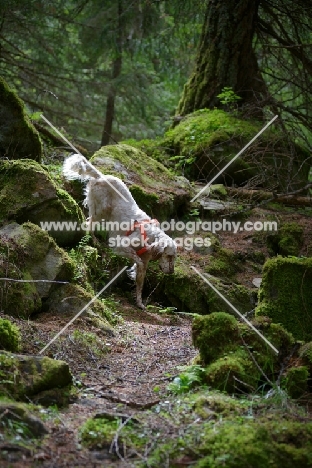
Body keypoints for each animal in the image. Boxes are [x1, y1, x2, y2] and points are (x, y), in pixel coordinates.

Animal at [62, 152, 177, 308]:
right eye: (169, 256)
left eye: (173, 257)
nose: (171, 272)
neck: (150, 236)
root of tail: (101, 176)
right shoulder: (119, 245)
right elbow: (136, 259)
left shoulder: (144, 261)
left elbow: (140, 284)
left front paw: (140, 303)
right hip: (101, 211)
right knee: (88, 223)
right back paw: (94, 241)